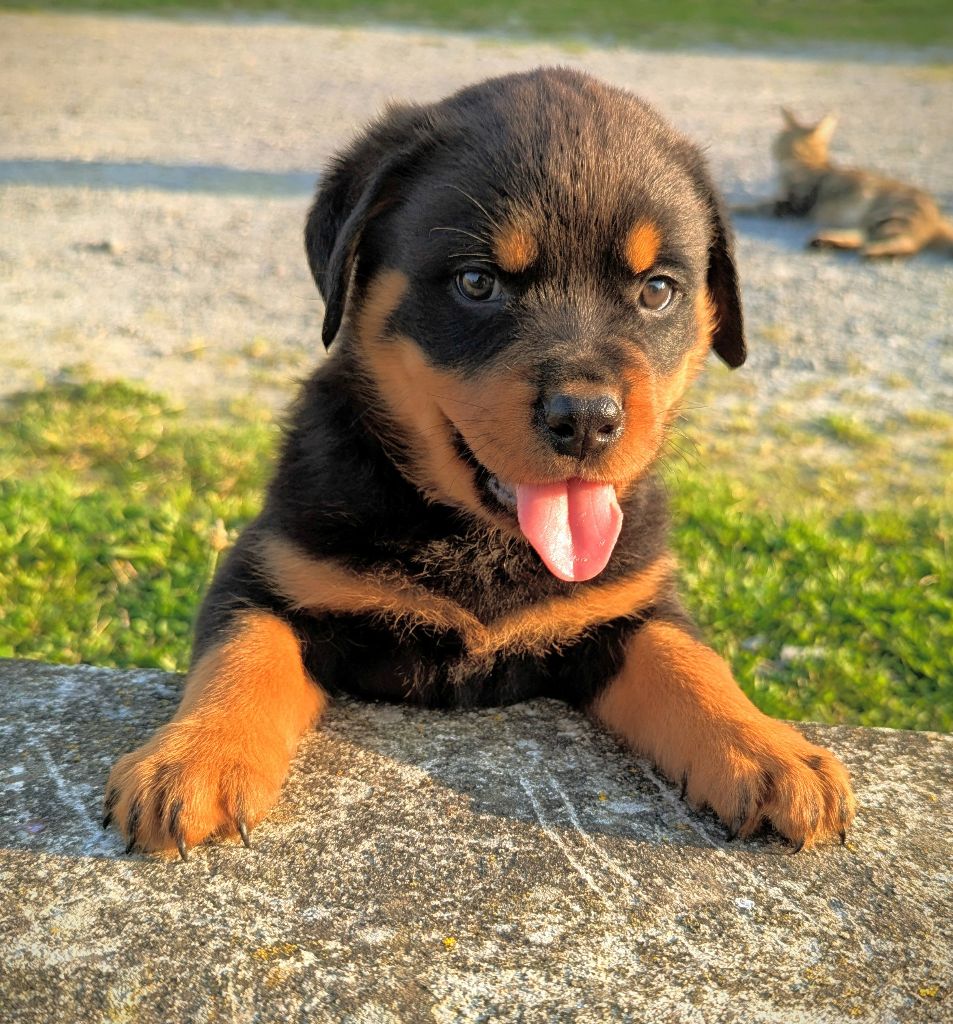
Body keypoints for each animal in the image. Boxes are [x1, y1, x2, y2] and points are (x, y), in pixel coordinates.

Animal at [104, 68, 855, 860]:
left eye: (656, 290)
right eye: (475, 284)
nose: (587, 418)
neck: (481, 544)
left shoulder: (629, 602)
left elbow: (689, 661)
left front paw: (770, 751)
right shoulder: (271, 571)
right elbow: (243, 653)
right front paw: (192, 760)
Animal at [735, 106, 953, 257]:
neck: (807, 161)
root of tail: (938, 216)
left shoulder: (794, 204)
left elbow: (758, 206)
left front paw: (736, 207)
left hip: (892, 214)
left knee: (905, 244)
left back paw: (871, 252)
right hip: (875, 220)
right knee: (863, 236)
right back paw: (825, 242)